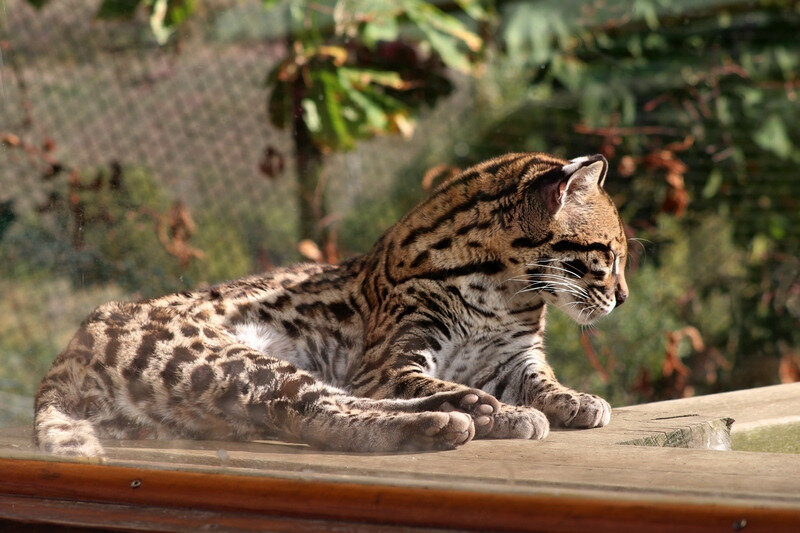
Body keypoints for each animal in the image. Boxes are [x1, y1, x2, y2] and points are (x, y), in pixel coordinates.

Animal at [34, 152, 628, 456]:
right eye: (610, 255)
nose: (623, 298)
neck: (505, 291)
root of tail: (66, 355)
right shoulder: (389, 364)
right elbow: (413, 381)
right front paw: (508, 409)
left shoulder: (514, 359)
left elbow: (544, 380)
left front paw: (575, 400)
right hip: (231, 357)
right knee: (315, 408)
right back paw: (464, 413)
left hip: (218, 402)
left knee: (303, 414)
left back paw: (466, 412)